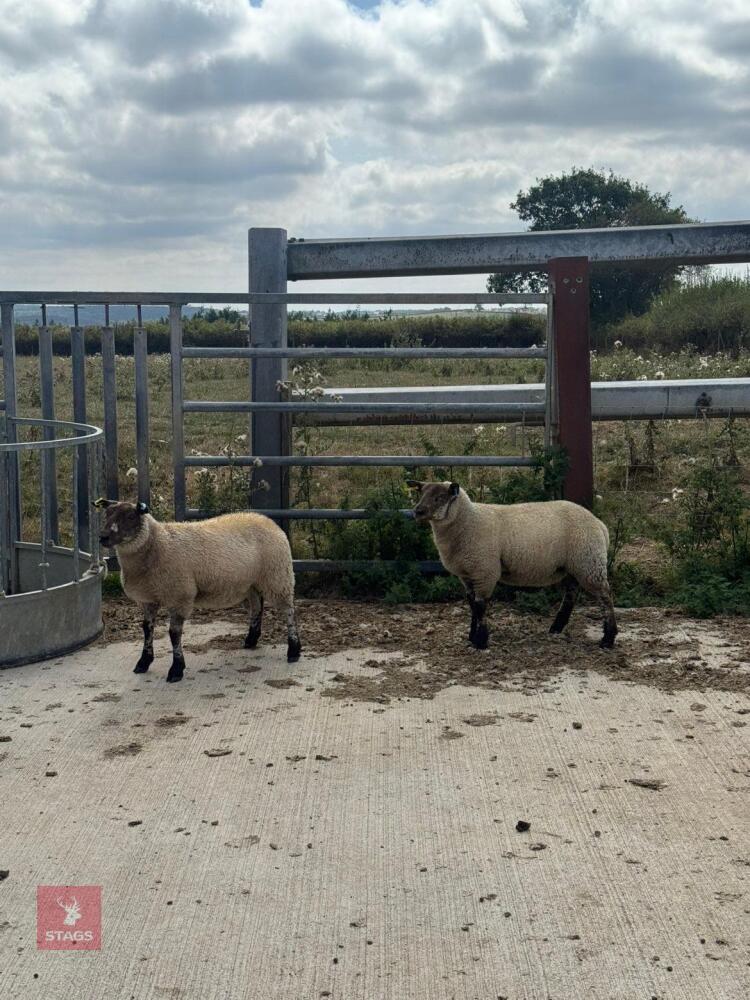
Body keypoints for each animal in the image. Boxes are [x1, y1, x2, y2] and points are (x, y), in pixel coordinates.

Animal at [95, 499, 301, 682]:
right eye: (106, 514)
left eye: (130, 516)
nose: (103, 536)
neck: (157, 542)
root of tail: (267, 520)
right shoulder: (148, 600)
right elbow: (147, 629)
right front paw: (143, 662)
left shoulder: (180, 596)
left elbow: (174, 633)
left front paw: (176, 669)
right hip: (250, 583)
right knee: (257, 606)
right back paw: (251, 640)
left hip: (277, 576)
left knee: (289, 610)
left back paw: (294, 650)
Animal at [407, 481, 617, 650]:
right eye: (421, 493)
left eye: (439, 497)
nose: (417, 511)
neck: (469, 520)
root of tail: (600, 525)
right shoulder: (467, 575)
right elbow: (472, 605)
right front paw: (472, 636)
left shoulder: (485, 571)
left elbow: (480, 606)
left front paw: (480, 641)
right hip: (575, 566)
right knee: (571, 596)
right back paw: (556, 628)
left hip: (589, 563)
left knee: (605, 597)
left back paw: (608, 638)